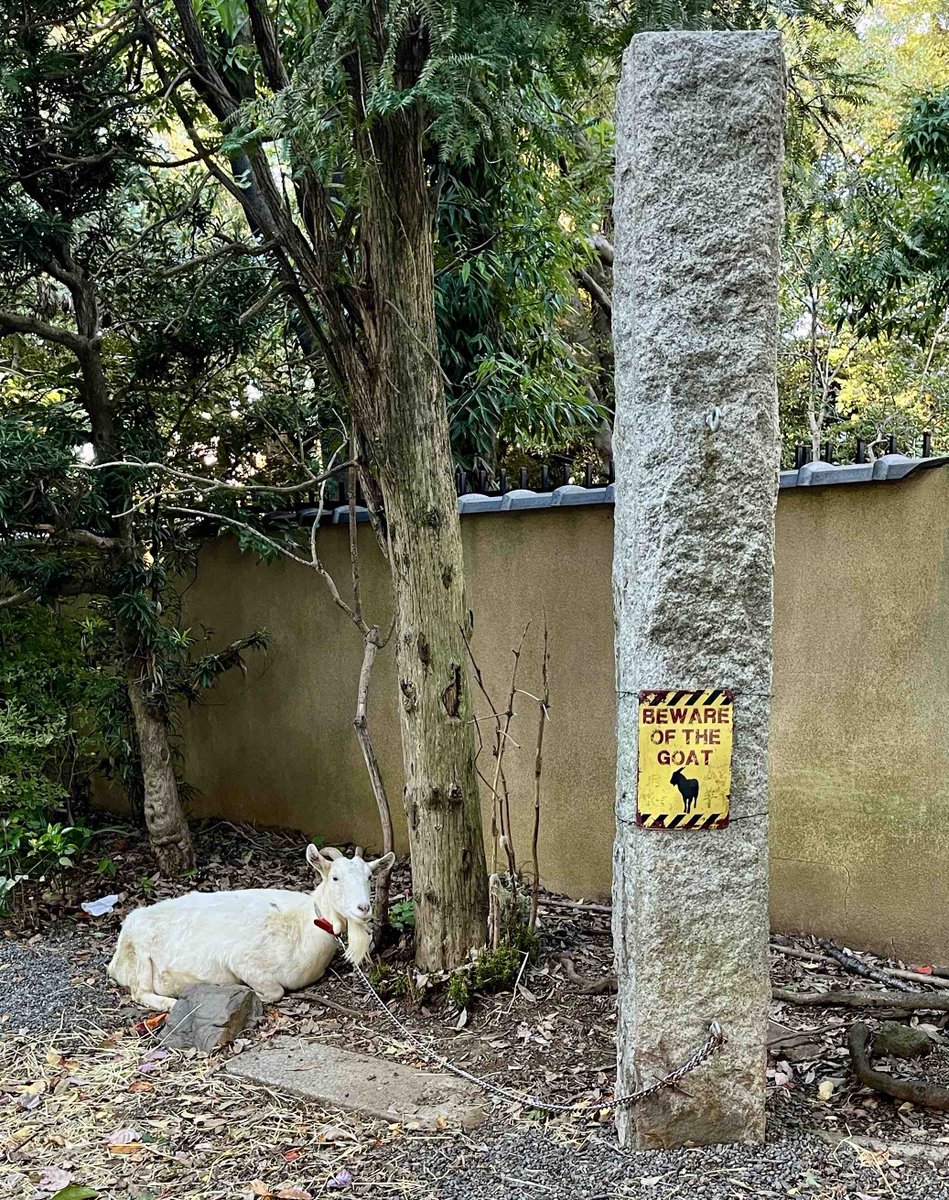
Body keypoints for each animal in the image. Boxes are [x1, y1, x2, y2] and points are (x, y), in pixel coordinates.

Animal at [107, 844, 395, 1012]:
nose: (363, 908)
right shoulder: (242, 961)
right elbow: (275, 992)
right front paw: (246, 991)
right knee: (139, 992)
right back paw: (170, 1002)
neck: (303, 926)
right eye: (335, 877)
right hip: (141, 958)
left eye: (370, 877)